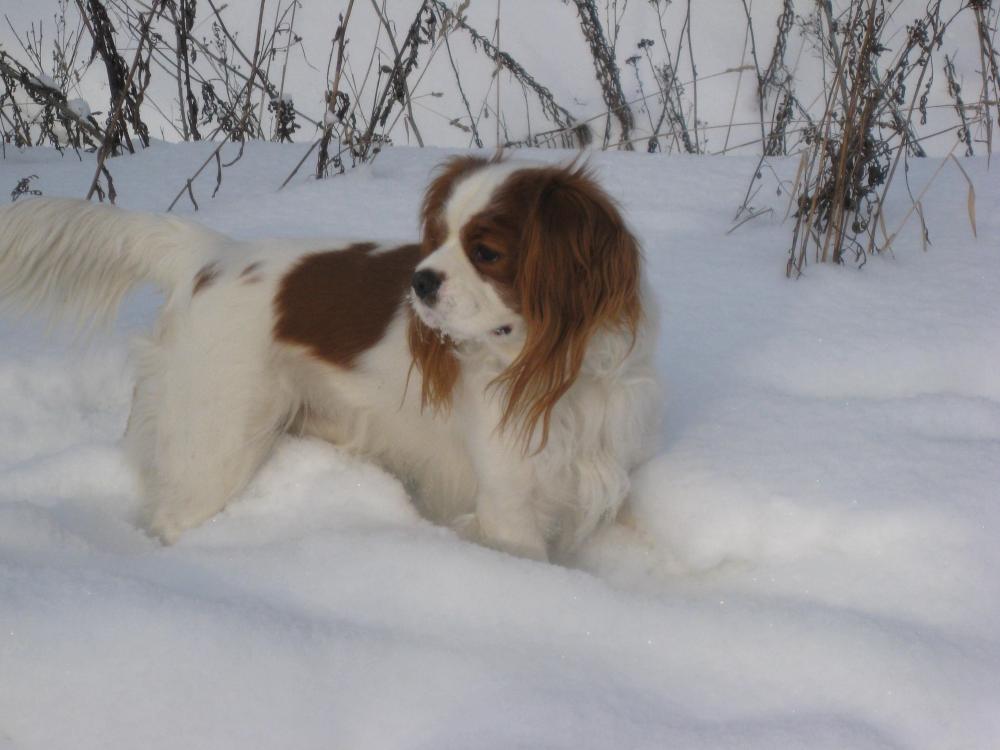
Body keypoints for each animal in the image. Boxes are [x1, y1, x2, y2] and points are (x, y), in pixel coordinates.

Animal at [0, 156, 660, 560]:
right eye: (437, 237)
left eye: (487, 251)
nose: (419, 281)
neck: (554, 366)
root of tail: (212, 254)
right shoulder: (509, 504)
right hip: (216, 446)